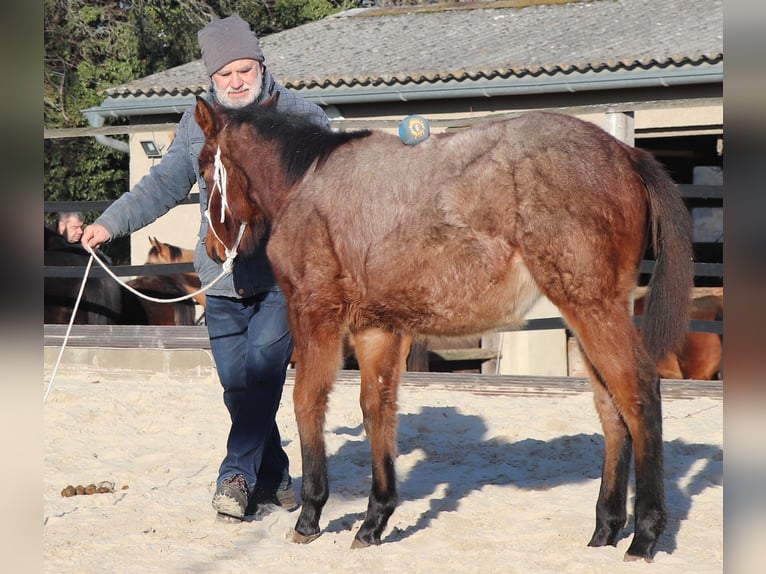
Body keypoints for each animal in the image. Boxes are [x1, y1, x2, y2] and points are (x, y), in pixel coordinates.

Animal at [194, 96, 693, 561]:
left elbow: (307, 403)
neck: (309, 183)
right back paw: (605, 529)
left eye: (203, 170)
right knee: (611, 409)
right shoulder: (376, 328)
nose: (214, 250)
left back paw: (644, 535)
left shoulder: (315, 316)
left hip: (592, 309)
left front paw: (310, 516)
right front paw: (374, 521)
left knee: (638, 393)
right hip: (586, 316)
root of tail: (625, 154)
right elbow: (377, 409)